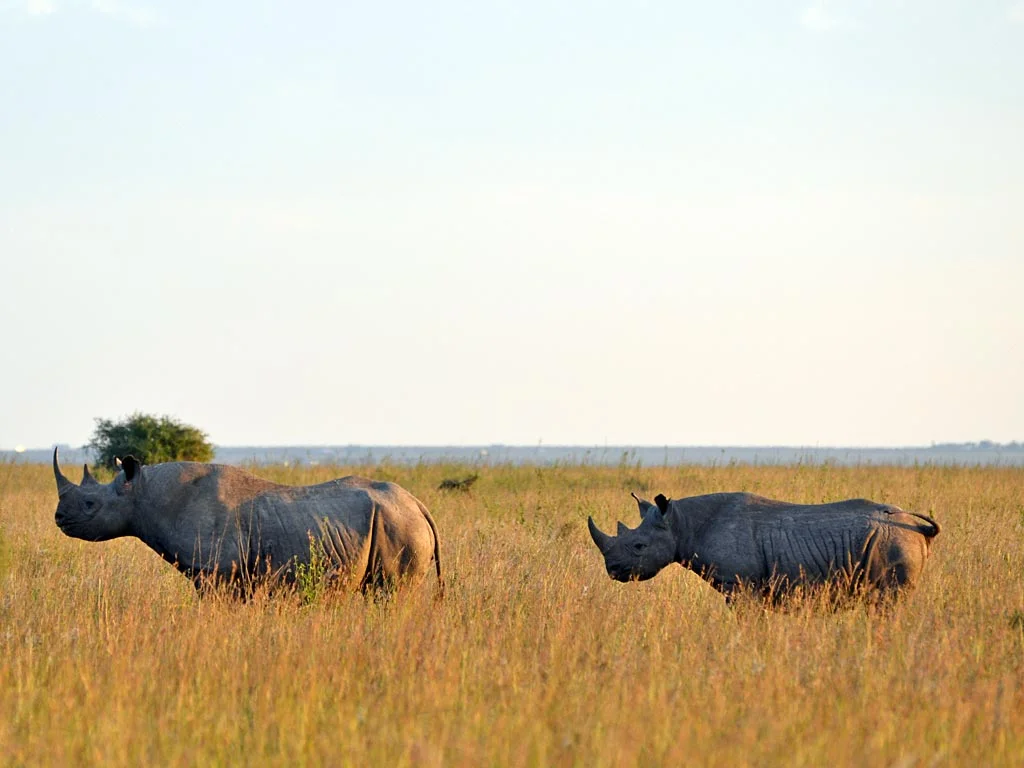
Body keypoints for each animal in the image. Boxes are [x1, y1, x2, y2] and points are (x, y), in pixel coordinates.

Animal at [52, 448, 442, 595]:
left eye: (89, 504)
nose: (58, 518)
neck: (143, 494)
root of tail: (418, 504)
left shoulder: (217, 571)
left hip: (399, 522)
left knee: (390, 594)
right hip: (394, 518)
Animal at [588, 491, 940, 602]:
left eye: (638, 546)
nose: (612, 570)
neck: (680, 523)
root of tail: (918, 527)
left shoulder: (739, 584)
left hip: (893, 540)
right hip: (896, 538)